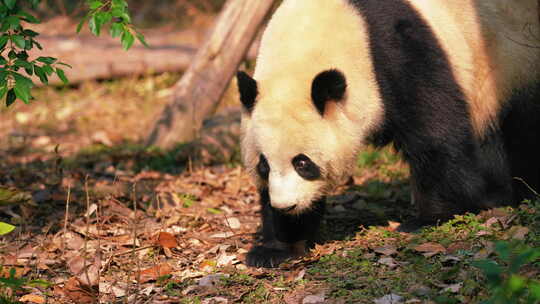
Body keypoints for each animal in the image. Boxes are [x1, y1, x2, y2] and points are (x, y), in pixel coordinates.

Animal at [235, 0, 540, 266]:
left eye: (302, 163)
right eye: (264, 165)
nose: (285, 206)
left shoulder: (400, 51)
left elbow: (435, 134)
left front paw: (428, 219)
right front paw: (276, 247)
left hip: (514, 60)